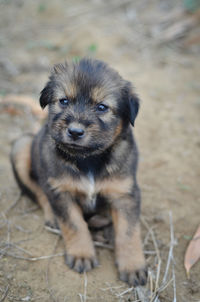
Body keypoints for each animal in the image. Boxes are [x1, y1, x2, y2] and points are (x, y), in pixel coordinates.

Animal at [10, 58, 148, 286]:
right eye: (64, 101)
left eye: (102, 107)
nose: (74, 131)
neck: (88, 159)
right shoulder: (61, 191)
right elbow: (74, 224)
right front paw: (82, 255)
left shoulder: (124, 193)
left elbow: (129, 232)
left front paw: (133, 266)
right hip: (21, 146)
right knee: (38, 191)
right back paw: (53, 217)